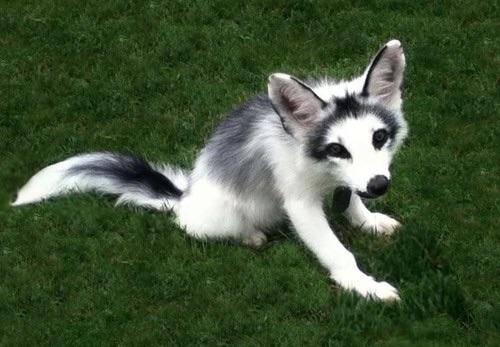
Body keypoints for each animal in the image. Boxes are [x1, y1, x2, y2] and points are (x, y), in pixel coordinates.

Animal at [13, 40, 408, 302]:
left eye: (379, 137)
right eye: (337, 149)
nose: (379, 186)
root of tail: (184, 195)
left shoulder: (348, 183)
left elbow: (352, 200)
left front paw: (368, 220)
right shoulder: (299, 203)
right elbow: (336, 251)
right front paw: (364, 286)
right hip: (218, 217)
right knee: (201, 229)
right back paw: (249, 236)